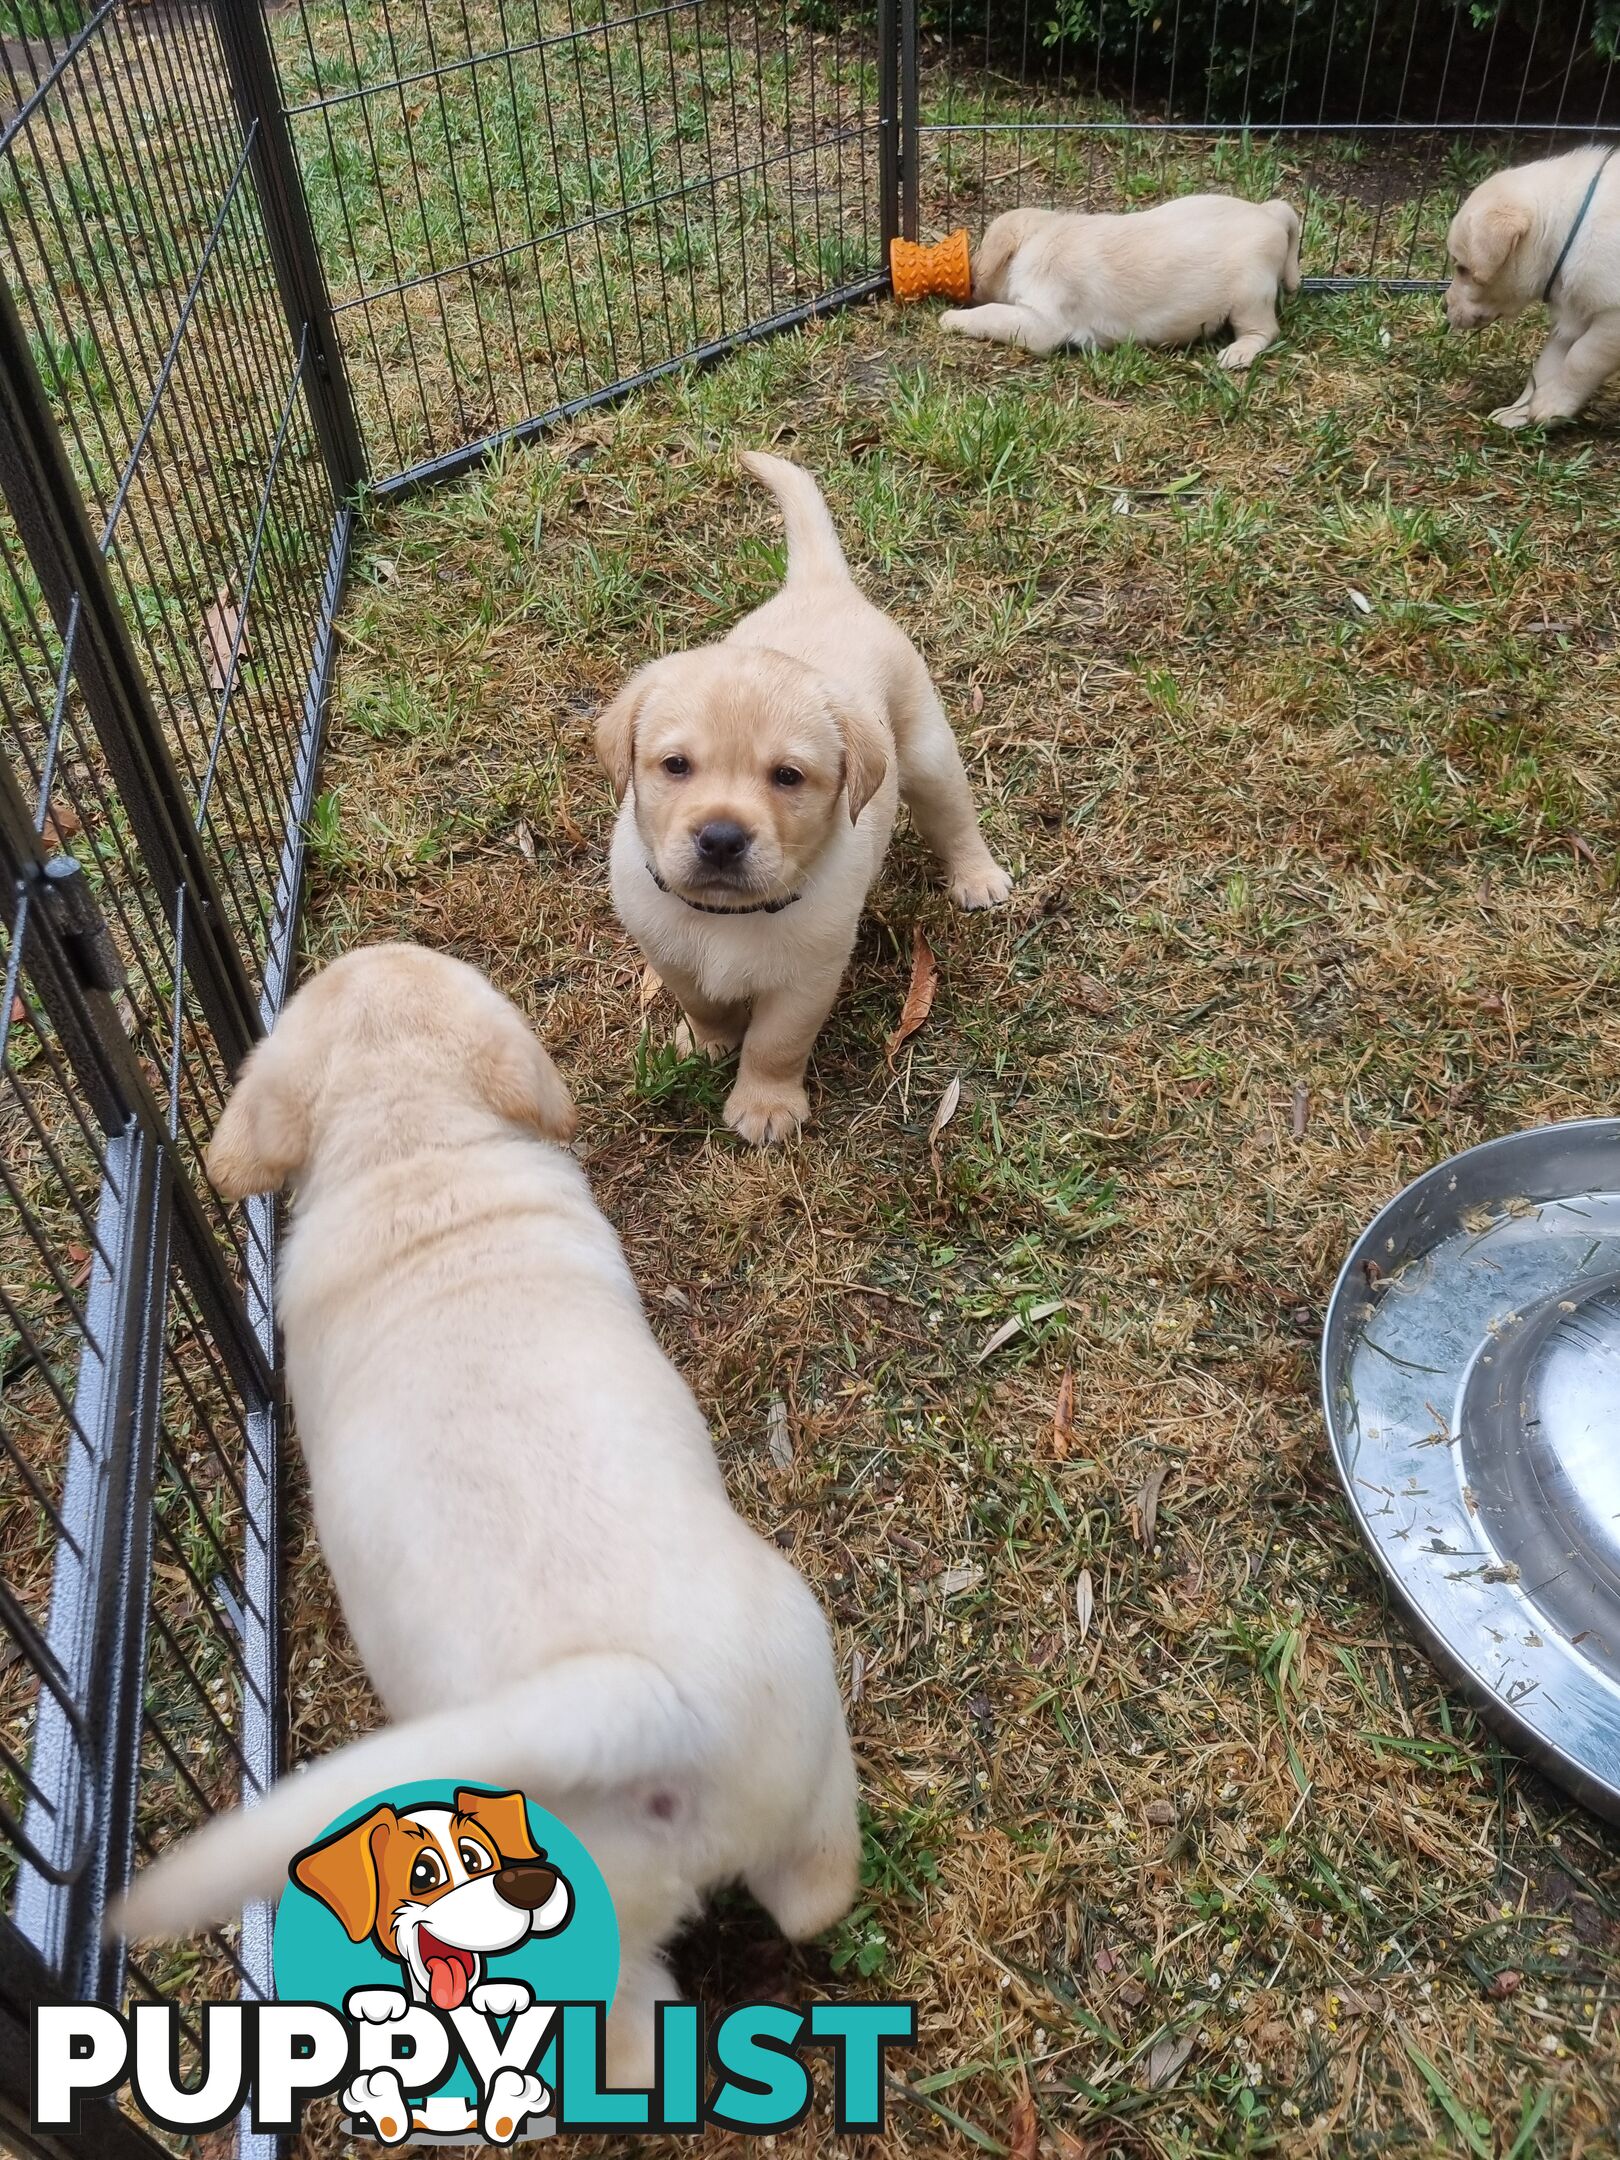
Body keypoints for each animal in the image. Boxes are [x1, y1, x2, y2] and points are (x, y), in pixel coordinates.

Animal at [604, 449, 1015, 1149]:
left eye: (788, 777)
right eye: (676, 766)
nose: (721, 839)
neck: (726, 918)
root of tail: (823, 587)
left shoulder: (808, 978)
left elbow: (776, 1044)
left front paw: (765, 1106)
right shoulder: (668, 950)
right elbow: (704, 1004)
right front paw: (707, 1044)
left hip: (928, 752)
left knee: (954, 818)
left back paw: (977, 877)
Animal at [937, 194, 1304, 367]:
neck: (1041, 237)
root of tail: (1269, 213)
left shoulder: (1041, 323)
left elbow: (992, 314)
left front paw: (952, 318)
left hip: (1249, 296)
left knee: (1265, 331)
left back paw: (1237, 353)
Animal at [1442, 145, 1620, 427]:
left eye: (1463, 269)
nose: (1443, 306)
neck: (1570, 233)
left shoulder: (1612, 320)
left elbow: (1580, 359)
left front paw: (1552, 405)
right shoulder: (1572, 316)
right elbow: (1545, 368)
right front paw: (1518, 412)